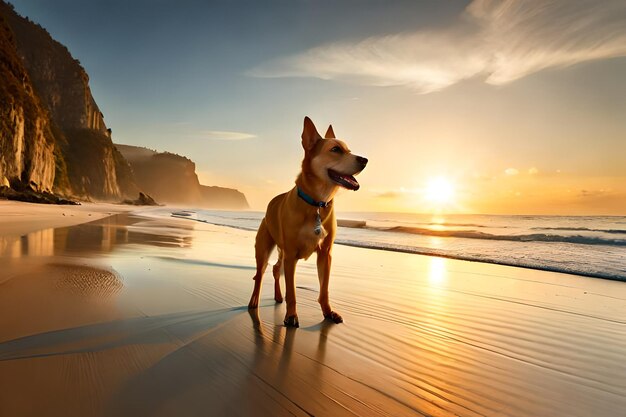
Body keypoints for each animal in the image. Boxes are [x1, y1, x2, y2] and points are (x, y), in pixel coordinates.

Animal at [249, 115, 366, 326]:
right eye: (335, 149)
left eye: (349, 150)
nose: (365, 160)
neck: (317, 202)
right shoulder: (291, 254)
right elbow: (292, 292)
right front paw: (291, 316)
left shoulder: (325, 254)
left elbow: (324, 289)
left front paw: (328, 312)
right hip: (264, 248)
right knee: (260, 275)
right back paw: (254, 301)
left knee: (276, 269)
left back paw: (278, 296)